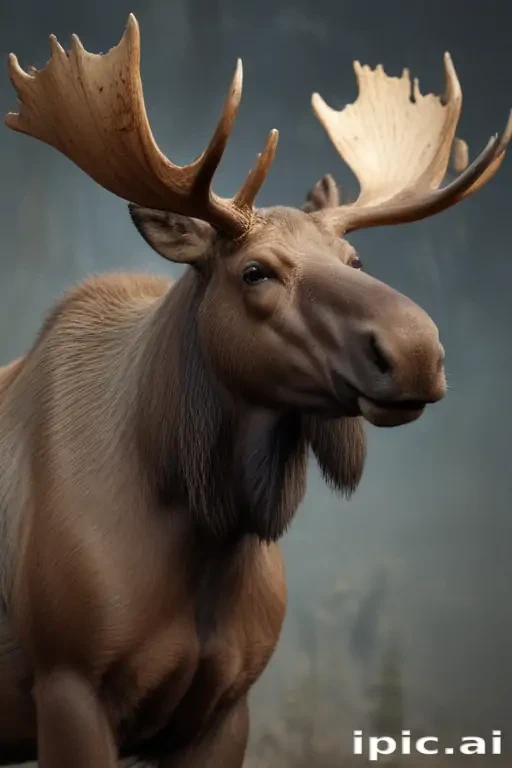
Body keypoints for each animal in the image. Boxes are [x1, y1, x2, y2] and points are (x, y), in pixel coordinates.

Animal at [0, 12, 509, 768]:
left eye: (356, 258)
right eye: (256, 271)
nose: (417, 351)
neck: (203, 522)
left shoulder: (226, 706)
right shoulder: (69, 689)